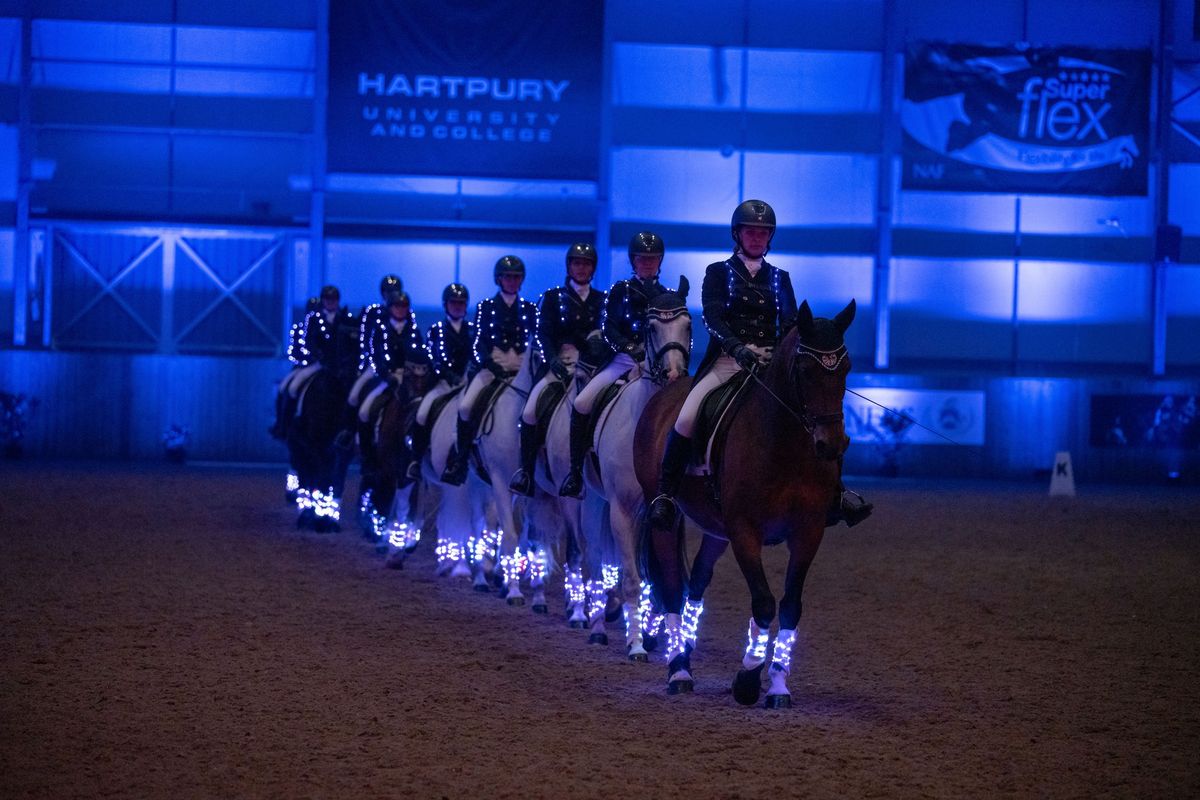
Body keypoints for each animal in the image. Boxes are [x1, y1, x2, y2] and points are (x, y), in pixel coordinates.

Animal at [580, 284, 696, 662]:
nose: (673, 375)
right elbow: (632, 580)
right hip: (593, 501)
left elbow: (661, 579)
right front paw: (635, 645)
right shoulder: (622, 509)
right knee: (593, 560)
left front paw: (661, 638)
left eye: (688, 325)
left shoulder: (665, 513)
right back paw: (599, 626)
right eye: (650, 326)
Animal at [633, 299, 859, 705]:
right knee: (672, 589)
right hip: (666, 517)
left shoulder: (808, 532)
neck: (786, 446)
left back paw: (687, 648)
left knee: (696, 584)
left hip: (715, 528)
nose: (831, 445)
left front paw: (779, 686)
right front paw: (748, 679)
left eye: (846, 368)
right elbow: (764, 602)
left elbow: (790, 606)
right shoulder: (744, 532)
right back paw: (679, 670)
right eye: (805, 369)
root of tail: (665, 394)